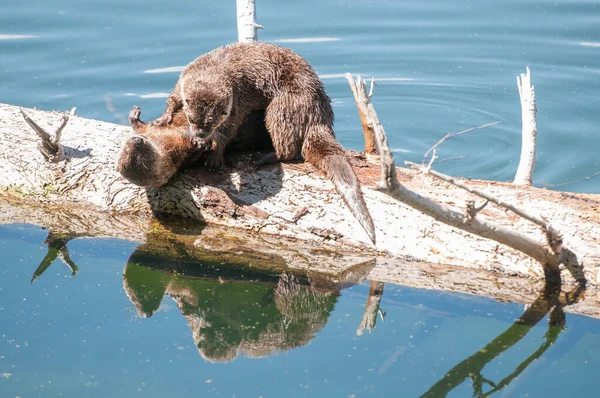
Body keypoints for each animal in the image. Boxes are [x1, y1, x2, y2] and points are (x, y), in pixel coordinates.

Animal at [117, 105, 268, 187]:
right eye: (139, 157)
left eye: (126, 147)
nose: (137, 141)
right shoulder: (180, 153)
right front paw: (200, 144)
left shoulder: (150, 129)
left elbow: (141, 126)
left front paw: (134, 114)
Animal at [154, 42, 376, 244]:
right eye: (192, 120)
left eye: (213, 121)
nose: (201, 134)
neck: (215, 66)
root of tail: (319, 115)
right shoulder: (184, 77)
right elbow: (173, 97)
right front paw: (164, 117)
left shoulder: (237, 100)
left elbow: (229, 129)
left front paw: (215, 153)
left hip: (284, 106)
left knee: (288, 148)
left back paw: (260, 157)